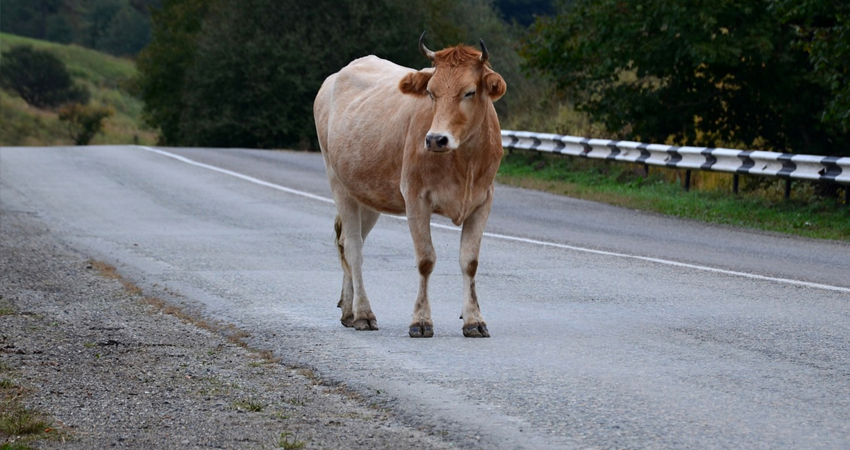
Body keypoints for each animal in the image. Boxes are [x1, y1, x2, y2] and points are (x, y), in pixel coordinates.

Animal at [314, 33, 506, 338]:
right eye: (431, 92)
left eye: (469, 92)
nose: (436, 139)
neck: (464, 162)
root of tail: (335, 76)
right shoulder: (416, 198)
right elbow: (426, 259)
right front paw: (421, 321)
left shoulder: (483, 201)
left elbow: (470, 262)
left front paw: (474, 320)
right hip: (338, 183)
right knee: (354, 248)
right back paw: (364, 314)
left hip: (368, 194)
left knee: (348, 242)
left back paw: (349, 310)